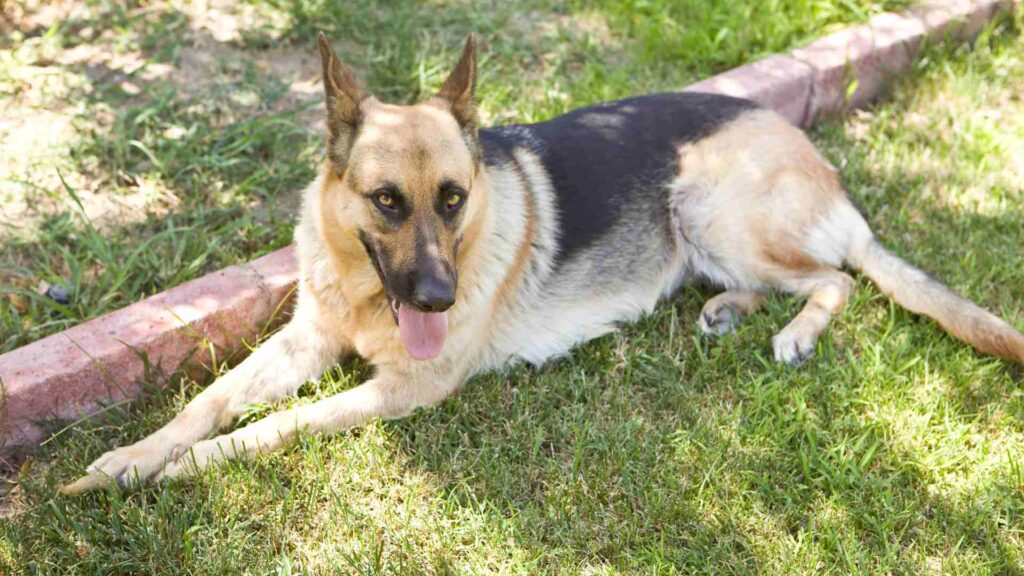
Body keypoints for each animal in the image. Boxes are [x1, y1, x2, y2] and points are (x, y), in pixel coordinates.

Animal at [61, 33, 1024, 491]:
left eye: (454, 198)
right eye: (387, 202)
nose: (439, 299)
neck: (370, 294)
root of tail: (808, 151)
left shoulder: (406, 388)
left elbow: (272, 427)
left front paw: (182, 471)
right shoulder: (306, 342)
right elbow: (213, 400)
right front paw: (131, 459)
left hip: (711, 205)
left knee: (836, 278)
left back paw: (792, 332)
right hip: (705, 234)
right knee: (785, 280)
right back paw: (727, 312)